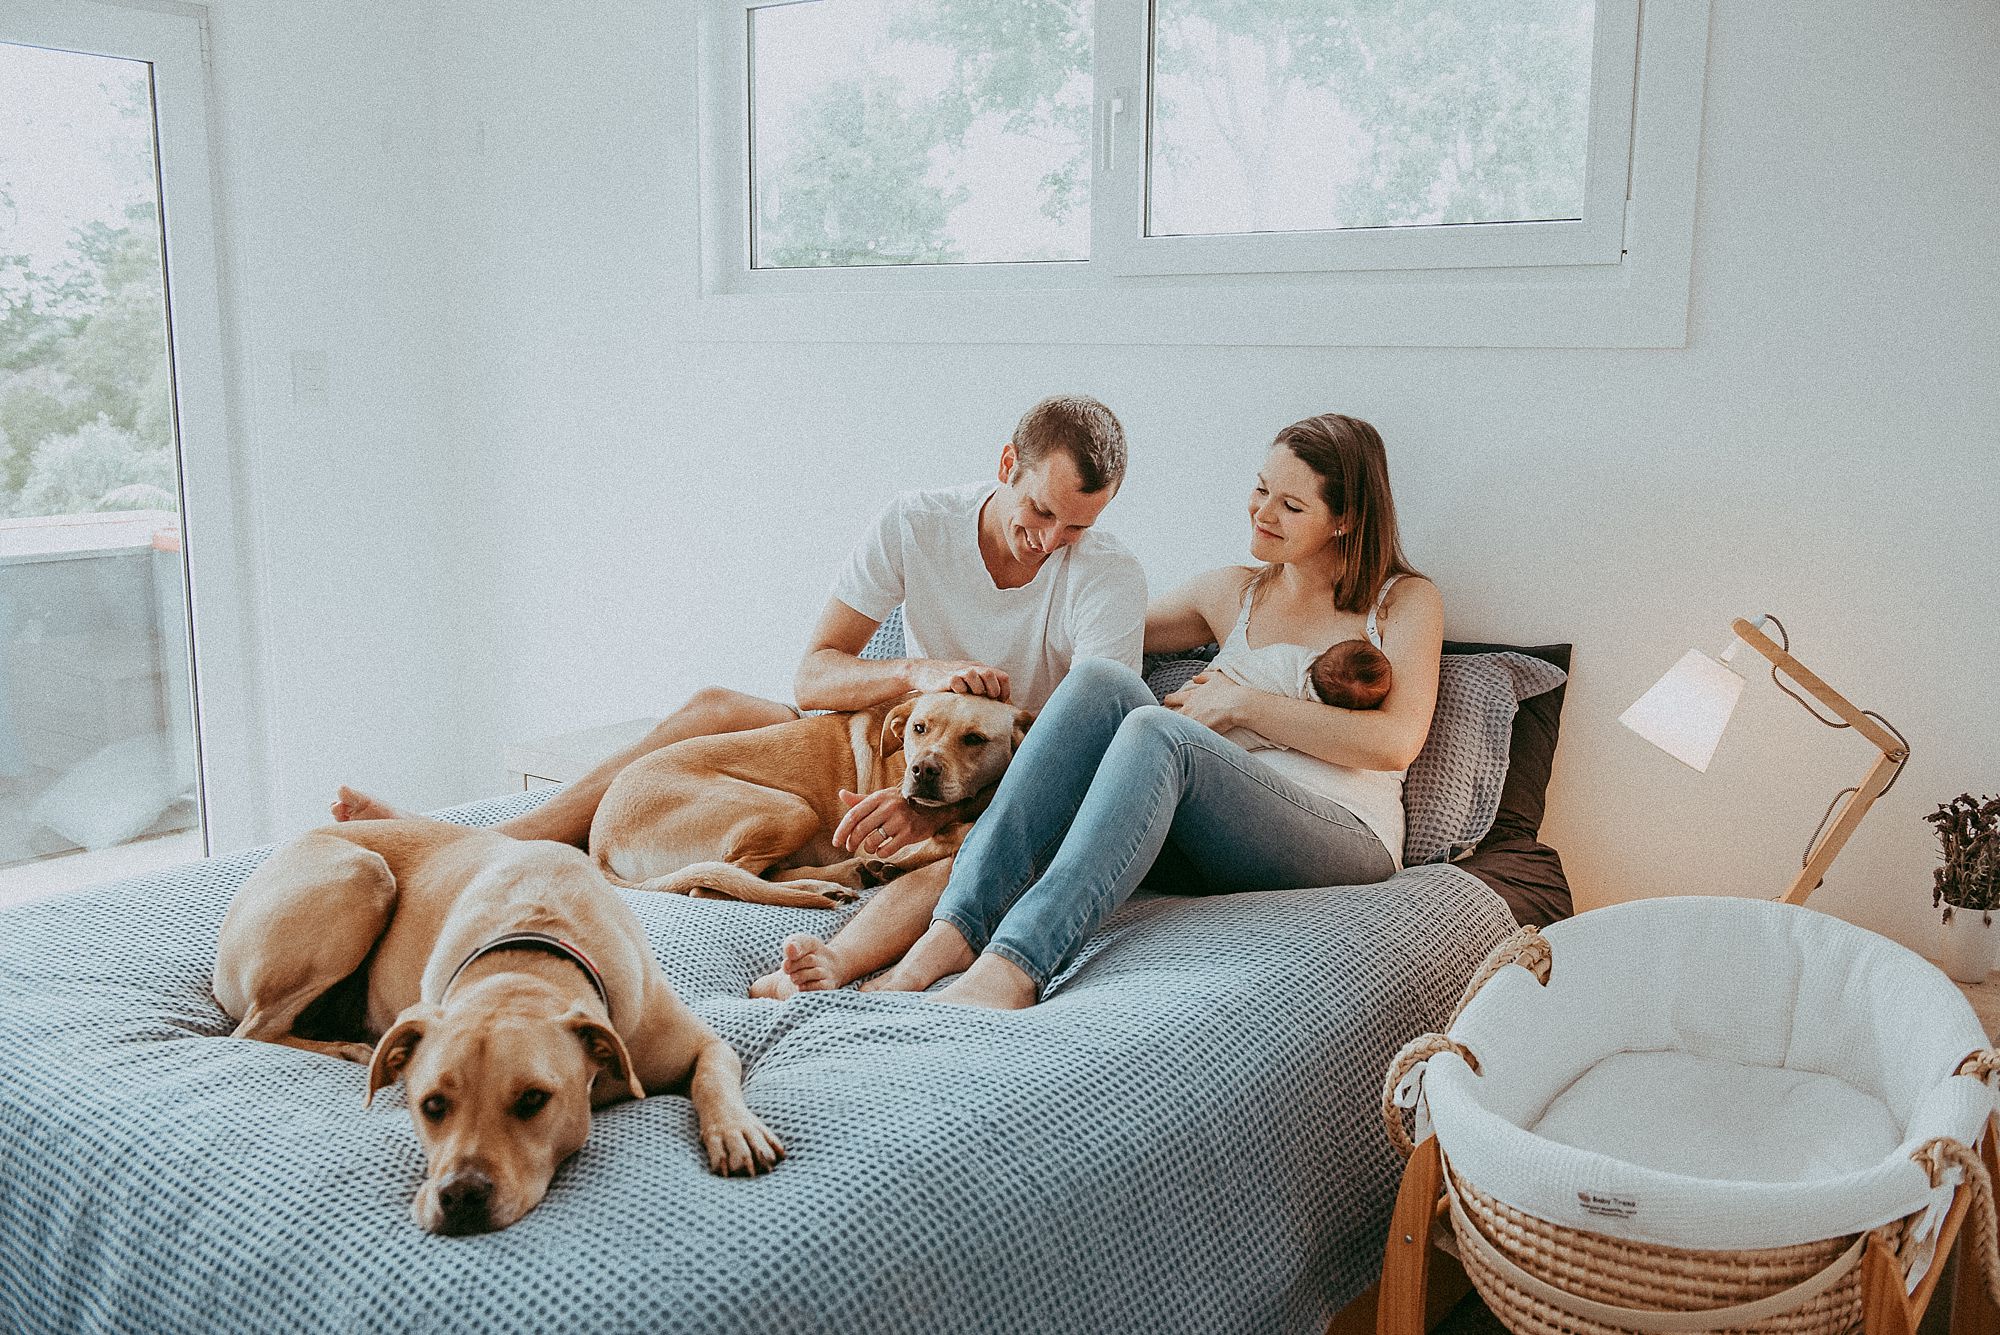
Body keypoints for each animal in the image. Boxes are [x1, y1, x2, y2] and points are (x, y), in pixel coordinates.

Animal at [213, 819, 780, 1239]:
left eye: (533, 1100)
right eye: (432, 1105)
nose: (460, 1194)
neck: (527, 958)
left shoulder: (704, 1044)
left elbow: (712, 1075)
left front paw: (736, 1130)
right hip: (359, 875)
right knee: (253, 1030)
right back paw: (350, 1049)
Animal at [584, 687, 1032, 907]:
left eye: (974, 739)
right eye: (919, 728)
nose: (921, 772)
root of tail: (598, 843)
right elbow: (953, 836)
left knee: (746, 878)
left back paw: (835, 883)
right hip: (791, 808)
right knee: (721, 881)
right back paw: (834, 882)